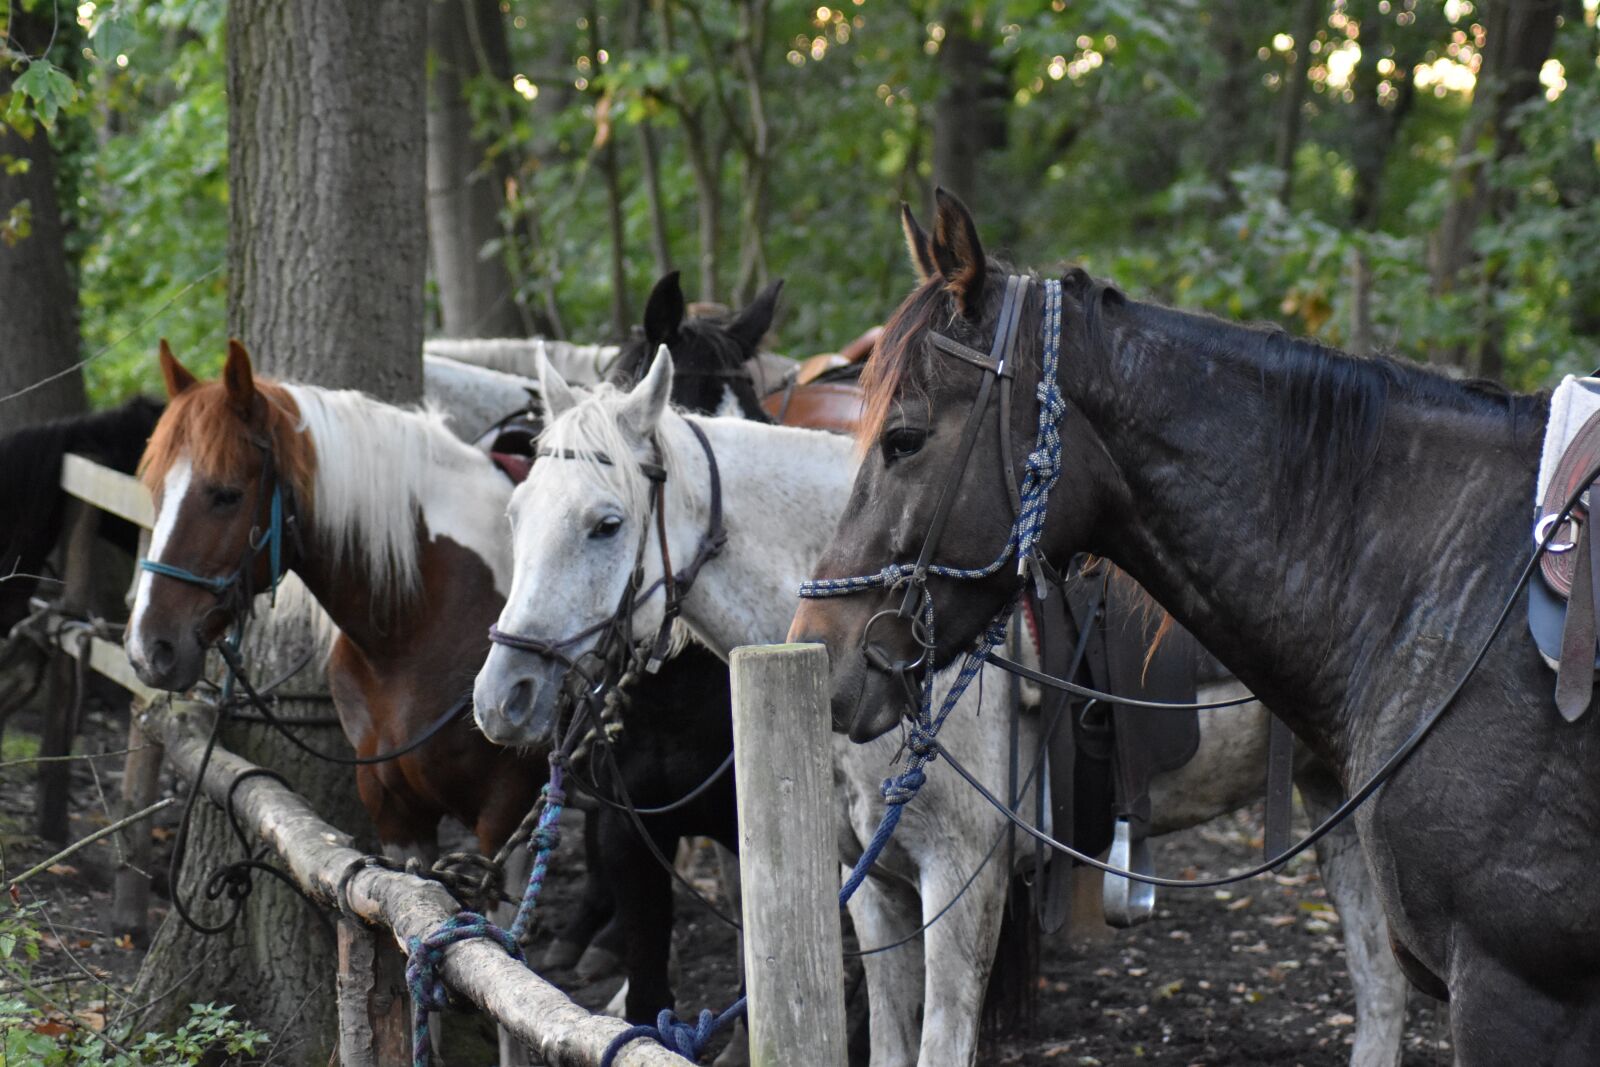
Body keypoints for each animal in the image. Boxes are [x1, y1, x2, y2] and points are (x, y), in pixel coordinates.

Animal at [474, 347, 1409, 1067]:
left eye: (605, 523)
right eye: (513, 511)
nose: (500, 696)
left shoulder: (960, 884)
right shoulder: (873, 889)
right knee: (1383, 991)